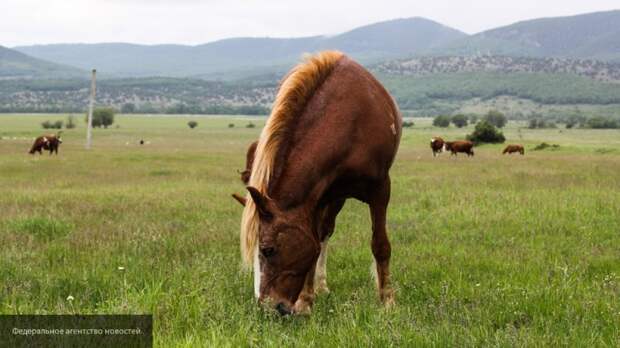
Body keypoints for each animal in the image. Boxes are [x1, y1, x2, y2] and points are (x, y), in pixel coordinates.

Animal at [237, 51, 402, 316]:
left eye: (267, 250)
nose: (267, 308)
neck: (347, 123)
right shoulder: (317, 197)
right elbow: (313, 246)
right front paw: (306, 301)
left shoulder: (380, 188)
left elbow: (380, 245)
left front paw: (387, 300)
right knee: (324, 233)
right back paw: (320, 286)